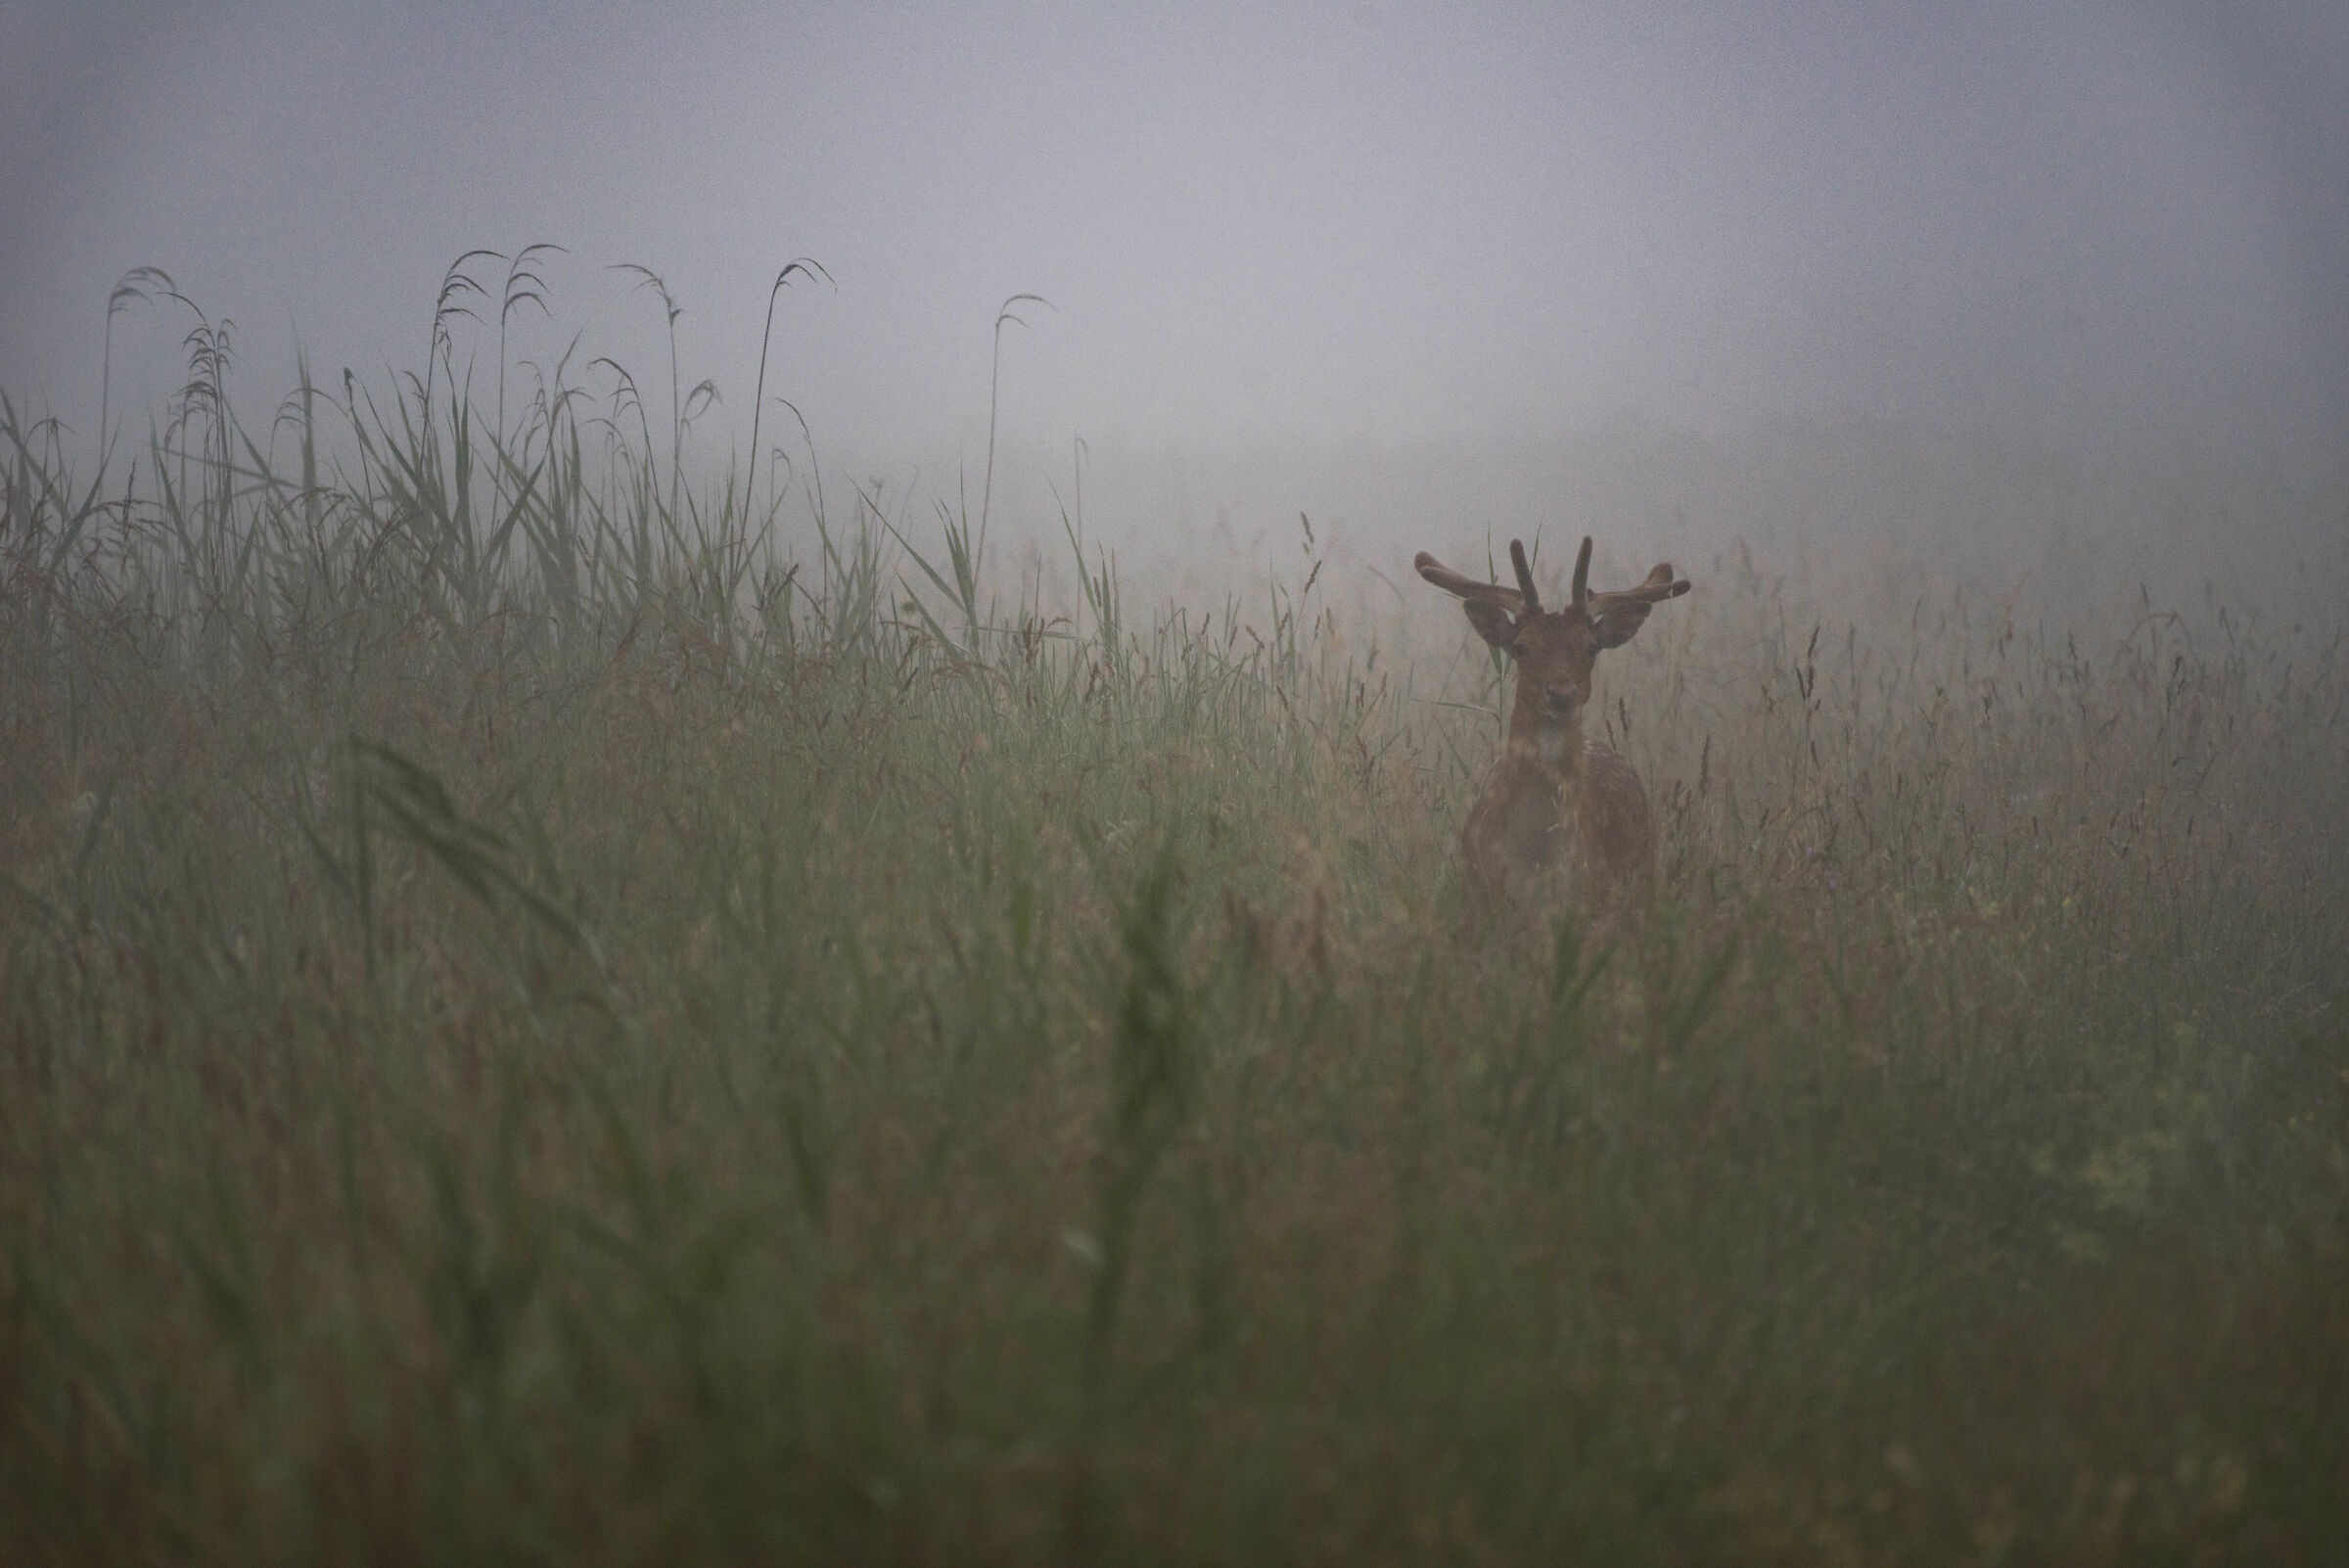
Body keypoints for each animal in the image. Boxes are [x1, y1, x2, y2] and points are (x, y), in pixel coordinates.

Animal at [1417, 535, 1690, 917]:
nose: (1561, 693)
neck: (1534, 855)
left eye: (1592, 646)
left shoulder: (1590, 897)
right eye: (1520, 646)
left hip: (1644, 874)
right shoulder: (1476, 896)